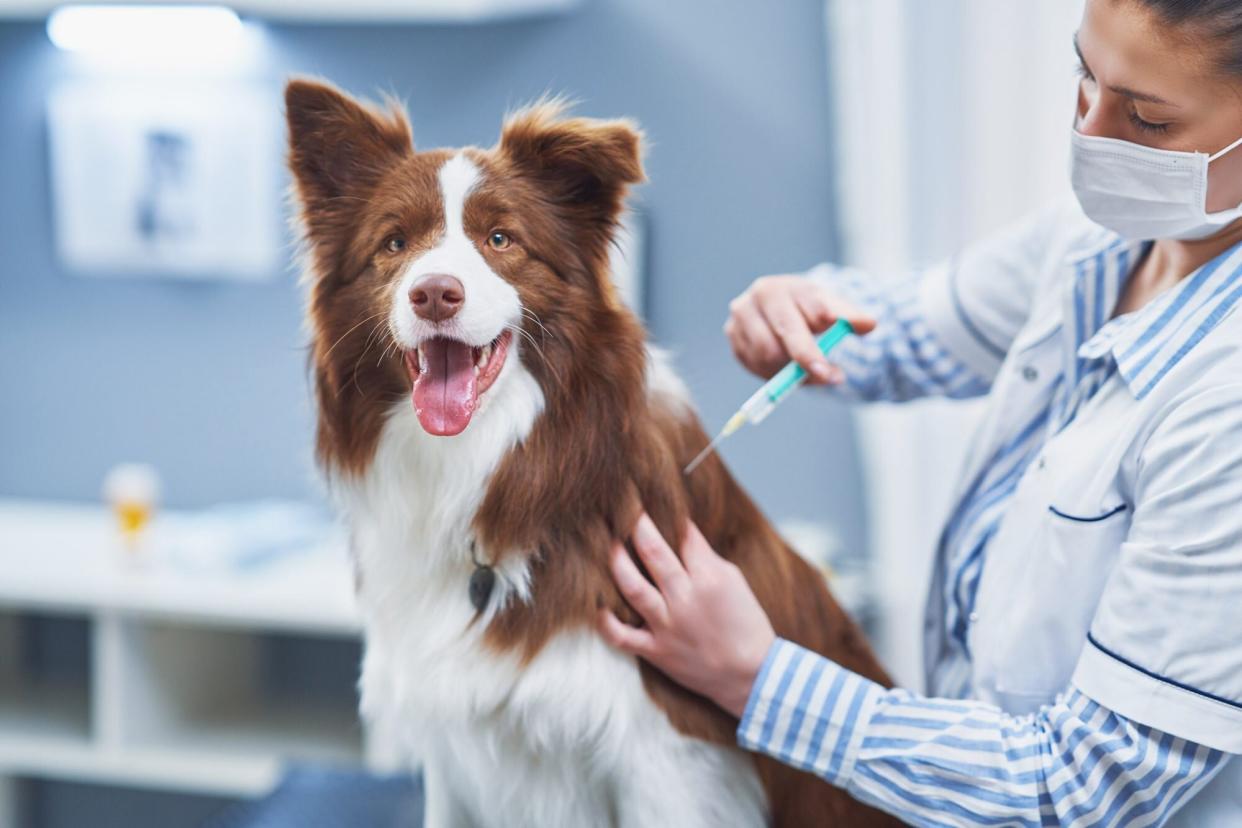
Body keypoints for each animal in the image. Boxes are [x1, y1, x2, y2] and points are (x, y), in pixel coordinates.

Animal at [286, 79, 899, 828]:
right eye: (394, 242)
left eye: (500, 239)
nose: (433, 293)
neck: (489, 466)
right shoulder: (451, 742)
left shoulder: (669, 756)